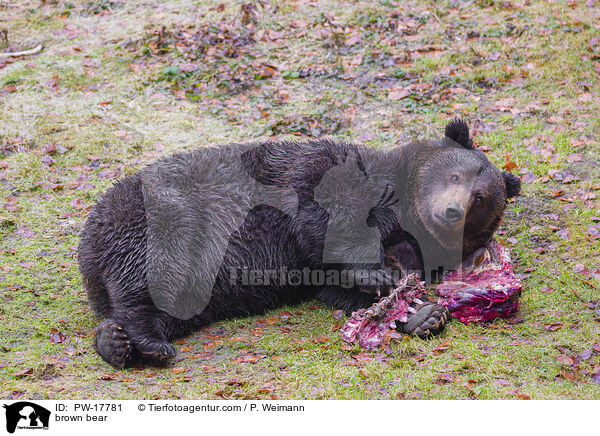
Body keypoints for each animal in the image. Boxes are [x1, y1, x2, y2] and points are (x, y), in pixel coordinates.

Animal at [78, 119, 520, 368]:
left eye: (481, 198)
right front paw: (377, 275)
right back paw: (141, 342)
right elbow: (330, 222)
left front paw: (420, 313)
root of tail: (88, 241)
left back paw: (120, 341)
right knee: (150, 280)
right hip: (157, 221)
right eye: (456, 176)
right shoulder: (326, 179)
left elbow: (344, 285)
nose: (451, 211)